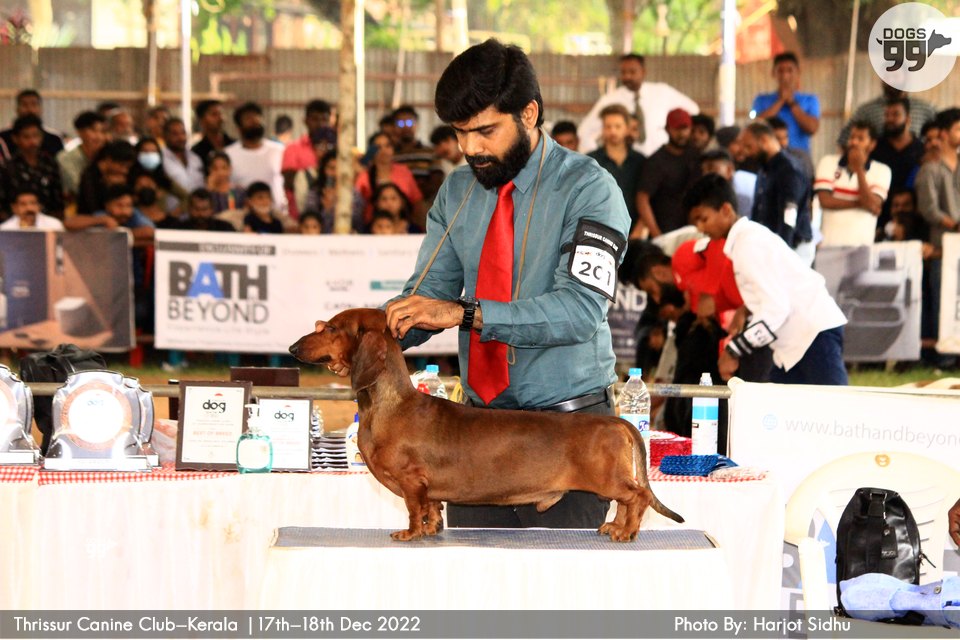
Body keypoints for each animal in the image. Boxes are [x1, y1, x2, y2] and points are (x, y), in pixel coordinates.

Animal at [289, 308, 683, 542]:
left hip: (609, 479)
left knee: (638, 496)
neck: (392, 404)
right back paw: (616, 526)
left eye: (332, 327)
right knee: (627, 501)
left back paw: (626, 531)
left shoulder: (412, 481)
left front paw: (411, 534)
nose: (292, 348)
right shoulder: (428, 490)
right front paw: (432, 529)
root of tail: (617, 423)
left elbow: (414, 510)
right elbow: (431, 510)